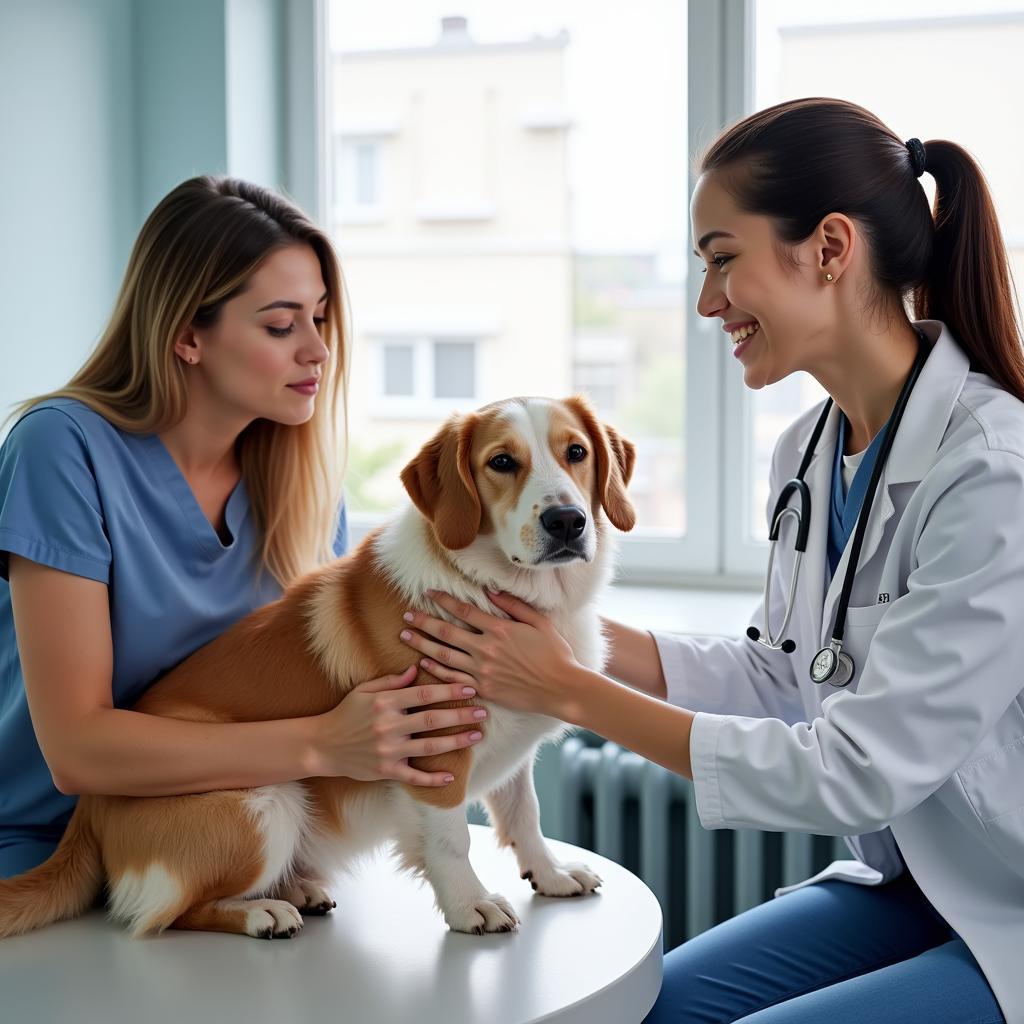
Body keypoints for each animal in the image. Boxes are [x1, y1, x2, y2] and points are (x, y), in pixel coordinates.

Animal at [0, 395, 634, 937]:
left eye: (576, 452)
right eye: (502, 462)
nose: (566, 521)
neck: (494, 587)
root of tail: (87, 813)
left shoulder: (512, 749)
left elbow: (525, 816)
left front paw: (550, 874)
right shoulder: (437, 752)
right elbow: (454, 841)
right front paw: (469, 905)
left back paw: (296, 890)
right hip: (267, 805)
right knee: (168, 915)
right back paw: (263, 913)